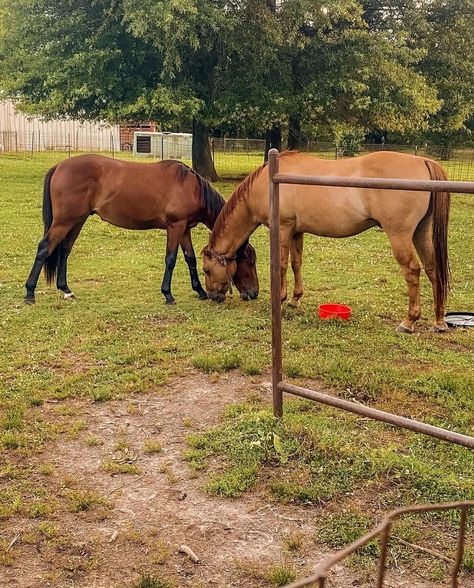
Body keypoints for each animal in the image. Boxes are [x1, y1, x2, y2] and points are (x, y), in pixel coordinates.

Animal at [25, 154, 260, 306]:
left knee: (64, 250)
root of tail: (59, 166)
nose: (253, 293)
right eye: (249, 261)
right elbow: (171, 259)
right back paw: (29, 293)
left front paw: (200, 291)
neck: (192, 187)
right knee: (44, 248)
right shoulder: (175, 227)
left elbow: (190, 259)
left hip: (77, 221)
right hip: (64, 221)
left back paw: (66, 290)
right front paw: (168, 295)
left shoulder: (184, 229)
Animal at [202, 149, 450, 334]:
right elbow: (296, 264)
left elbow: (281, 265)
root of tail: (423, 161)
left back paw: (409, 321)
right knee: (432, 269)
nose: (212, 296)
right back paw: (439, 321)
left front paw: (280, 300)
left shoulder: (282, 229)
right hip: (420, 232)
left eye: (206, 270)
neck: (267, 183)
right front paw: (295, 299)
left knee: (412, 271)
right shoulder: (296, 232)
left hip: (399, 235)